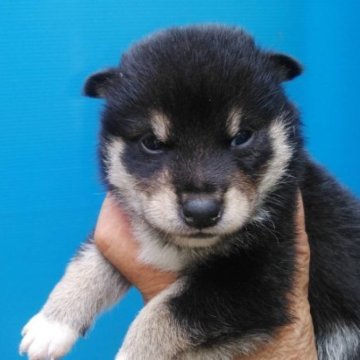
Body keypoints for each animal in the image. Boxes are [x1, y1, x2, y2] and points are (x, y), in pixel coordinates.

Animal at [19, 25, 360, 360]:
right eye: (152, 143)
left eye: (242, 137)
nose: (201, 212)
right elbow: (91, 261)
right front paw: (52, 323)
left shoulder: (255, 282)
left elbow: (164, 313)